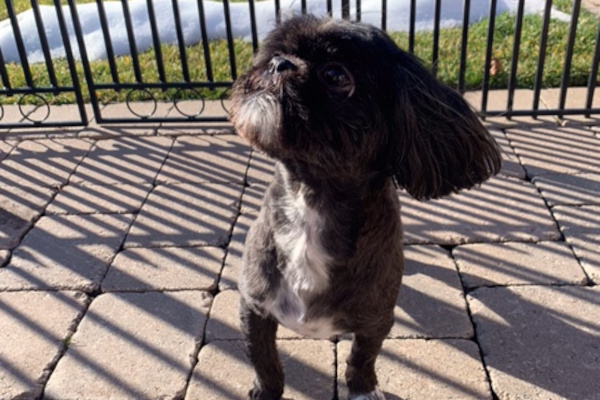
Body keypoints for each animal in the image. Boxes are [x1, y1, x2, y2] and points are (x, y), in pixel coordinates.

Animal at [230, 15, 502, 400]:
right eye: (273, 53)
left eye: (335, 75)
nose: (279, 64)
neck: (312, 200)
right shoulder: (253, 306)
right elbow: (263, 358)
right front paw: (266, 391)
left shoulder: (376, 320)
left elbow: (362, 358)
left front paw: (363, 390)